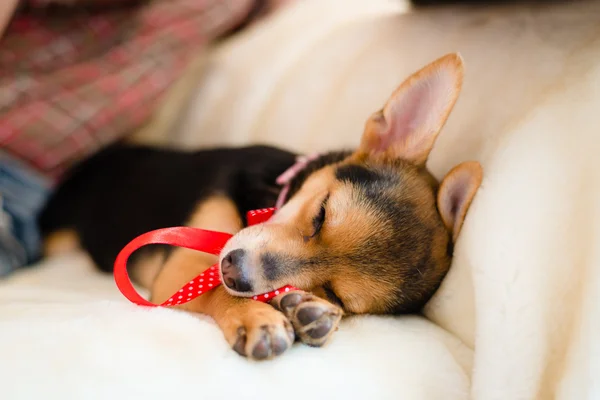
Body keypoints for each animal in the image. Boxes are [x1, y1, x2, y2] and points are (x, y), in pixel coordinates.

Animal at [39, 52, 482, 360]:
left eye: (334, 293)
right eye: (320, 215)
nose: (234, 271)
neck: (271, 197)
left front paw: (301, 307)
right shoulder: (180, 271)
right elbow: (217, 292)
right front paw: (255, 318)